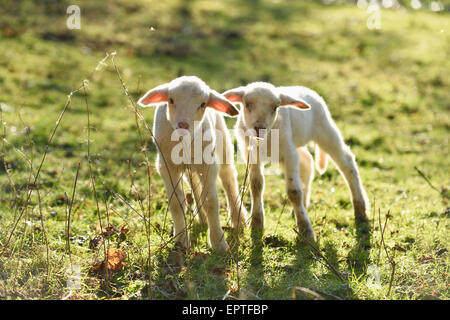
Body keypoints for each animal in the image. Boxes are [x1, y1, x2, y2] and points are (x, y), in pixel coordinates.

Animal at [139, 76, 248, 251]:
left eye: (203, 104)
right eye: (171, 100)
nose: (183, 125)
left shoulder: (208, 164)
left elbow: (211, 201)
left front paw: (218, 243)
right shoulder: (167, 166)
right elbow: (176, 203)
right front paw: (181, 241)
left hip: (223, 144)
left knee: (228, 178)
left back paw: (239, 219)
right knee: (194, 183)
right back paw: (202, 218)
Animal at [224, 82, 370, 240]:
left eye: (275, 107)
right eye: (247, 104)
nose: (259, 129)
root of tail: (304, 88)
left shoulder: (289, 154)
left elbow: (293, 192)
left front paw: (306, 231)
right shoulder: (251, 154)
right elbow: (256, 185)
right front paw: (257, 224)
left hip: (325, 130)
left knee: (346, 162)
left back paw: (360, 209)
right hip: (297, 143)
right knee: (307, 161)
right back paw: (302, 206)